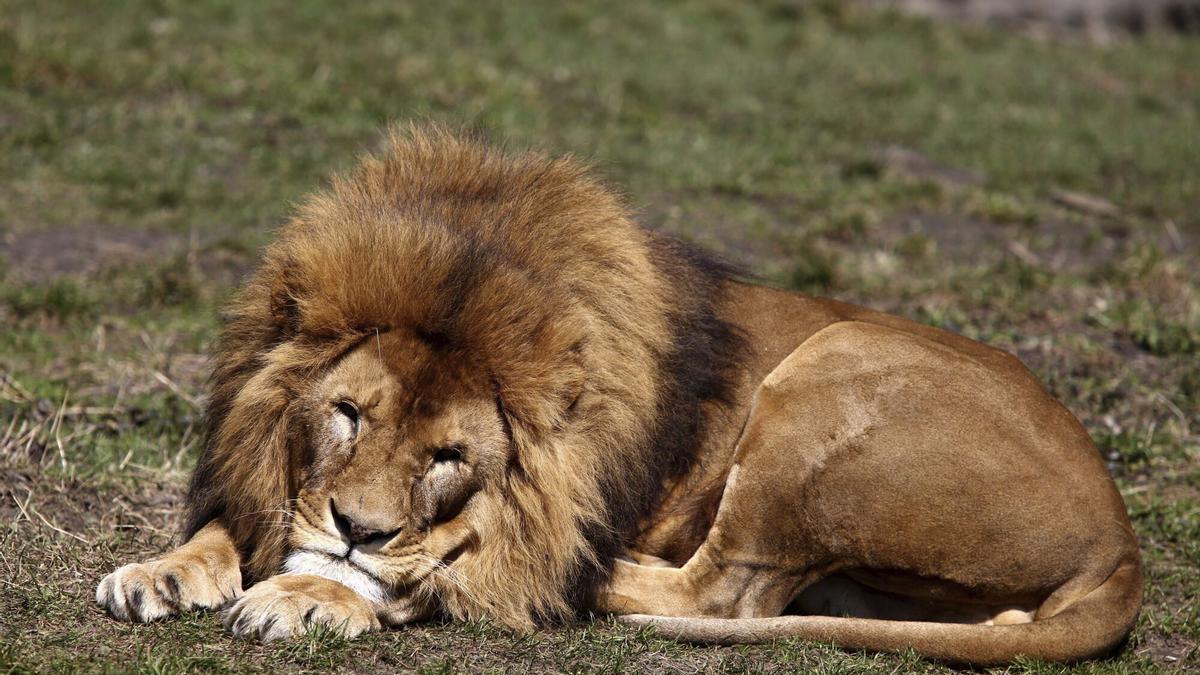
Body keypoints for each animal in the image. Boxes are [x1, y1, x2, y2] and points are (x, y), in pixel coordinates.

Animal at [96, 125, 1142, 665]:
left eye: (449, 458)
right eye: (348, 413)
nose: (359, 528)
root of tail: (1122, 541)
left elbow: (451, 566)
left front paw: (315, 592)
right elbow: (237, 516)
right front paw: (162, 570)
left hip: (835, 364)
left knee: (724, 589)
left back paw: (576, 572)